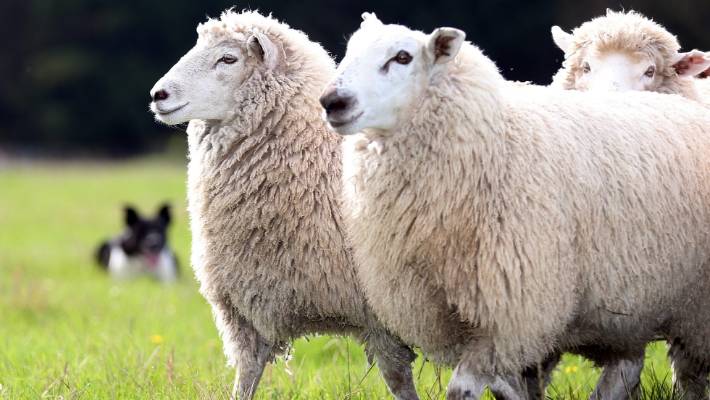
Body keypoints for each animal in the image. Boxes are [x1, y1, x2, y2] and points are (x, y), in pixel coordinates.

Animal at [148, 10, 418, 400]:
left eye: (228, 59)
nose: (158, 95)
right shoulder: (245, 311)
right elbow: (246, 376)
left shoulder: (383, 315)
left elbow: (399, 381)